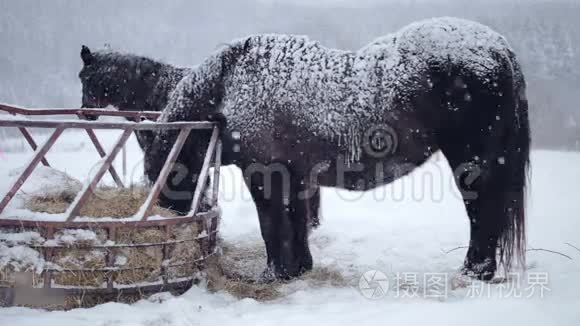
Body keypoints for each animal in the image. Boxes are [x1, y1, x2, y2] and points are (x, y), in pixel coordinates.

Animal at [80, 17, 532, 282]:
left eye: (164, 176)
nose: (86, 113)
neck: (228, 84)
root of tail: (496, 46)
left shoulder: (263, 173)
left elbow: (272, 224)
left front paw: (274, 273)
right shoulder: (294, 175)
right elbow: (295, 222)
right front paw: (298, 268)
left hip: (472, 161)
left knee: (483, 213)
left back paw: (475, 270)